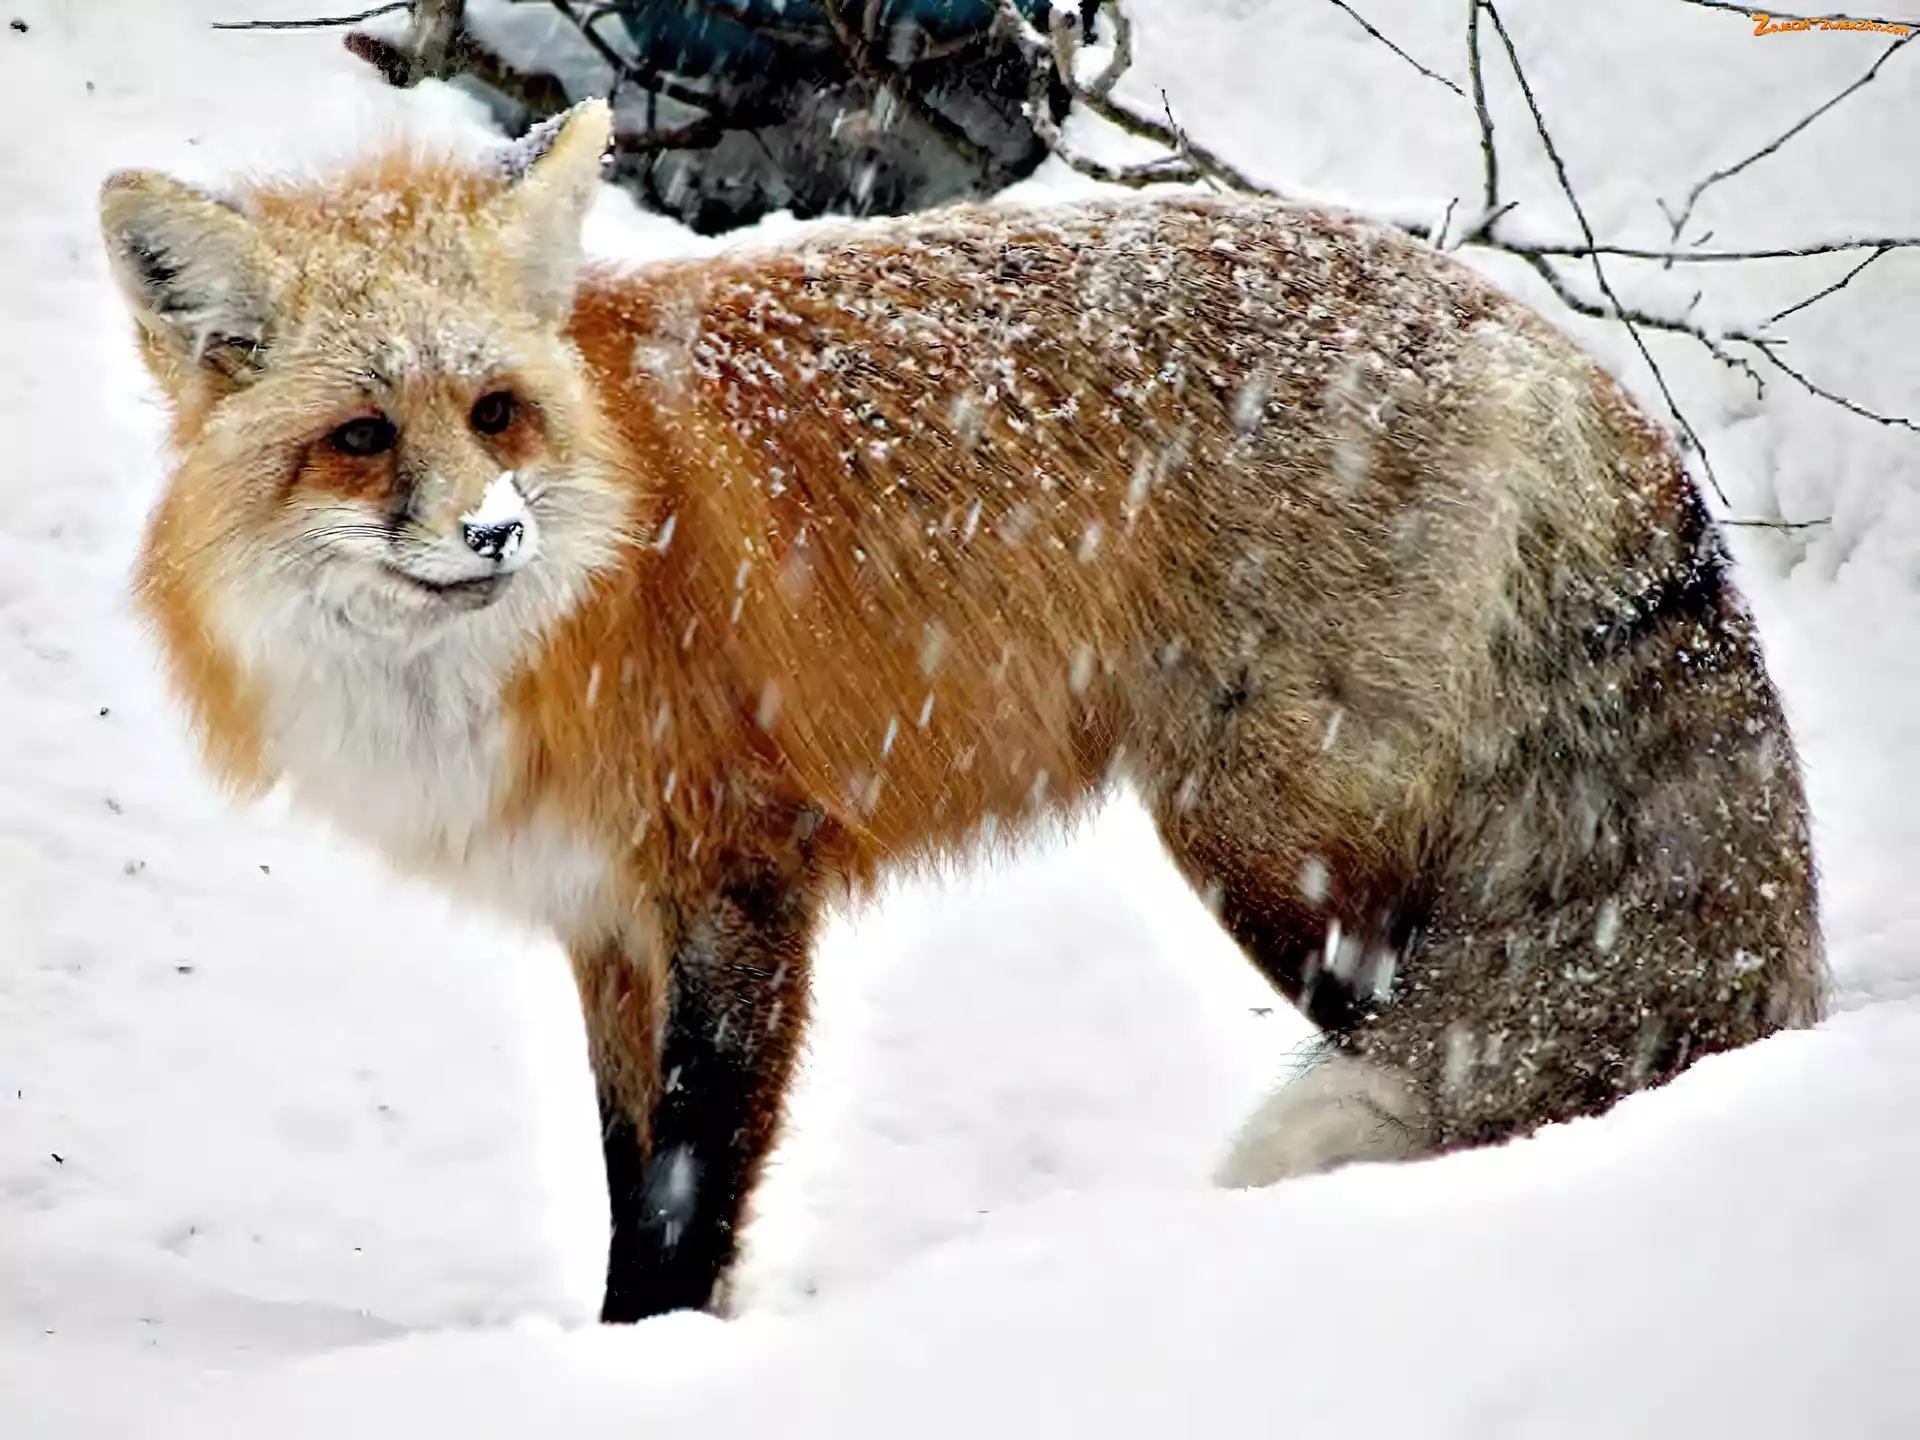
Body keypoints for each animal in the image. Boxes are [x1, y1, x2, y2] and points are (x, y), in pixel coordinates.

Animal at [99, 99, 1823, 1323]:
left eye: (496, 413)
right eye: (361, 437)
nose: (495, 537)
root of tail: (1521, 324)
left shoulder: (737, 874)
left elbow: (686, 1191)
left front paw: (650, 1368)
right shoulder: (603, 921)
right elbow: (627, 1175)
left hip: (1272, 845)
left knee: (1443, 1039)